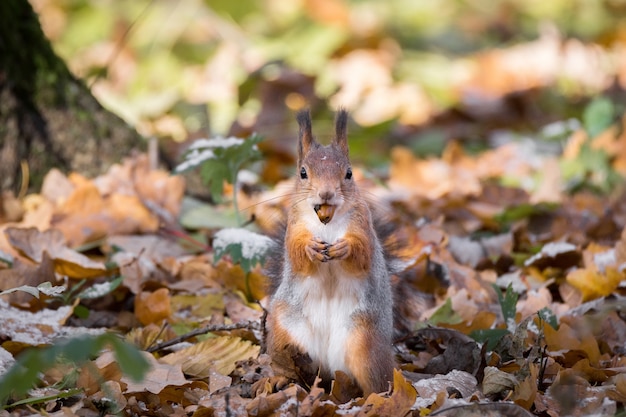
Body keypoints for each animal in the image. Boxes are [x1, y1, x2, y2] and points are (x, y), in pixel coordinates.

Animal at [264, 109, 394, 394]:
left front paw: (346, 247)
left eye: (349, 173)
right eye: (303, 173)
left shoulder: (363, 226)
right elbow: (297, 254)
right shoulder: (294, 228)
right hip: (284, 332)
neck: (327, 222)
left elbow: (363, 253)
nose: (326, 193)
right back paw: (279, 379)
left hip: (365, 344)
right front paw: (310, 248)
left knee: (375, 381)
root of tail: (326, 364)